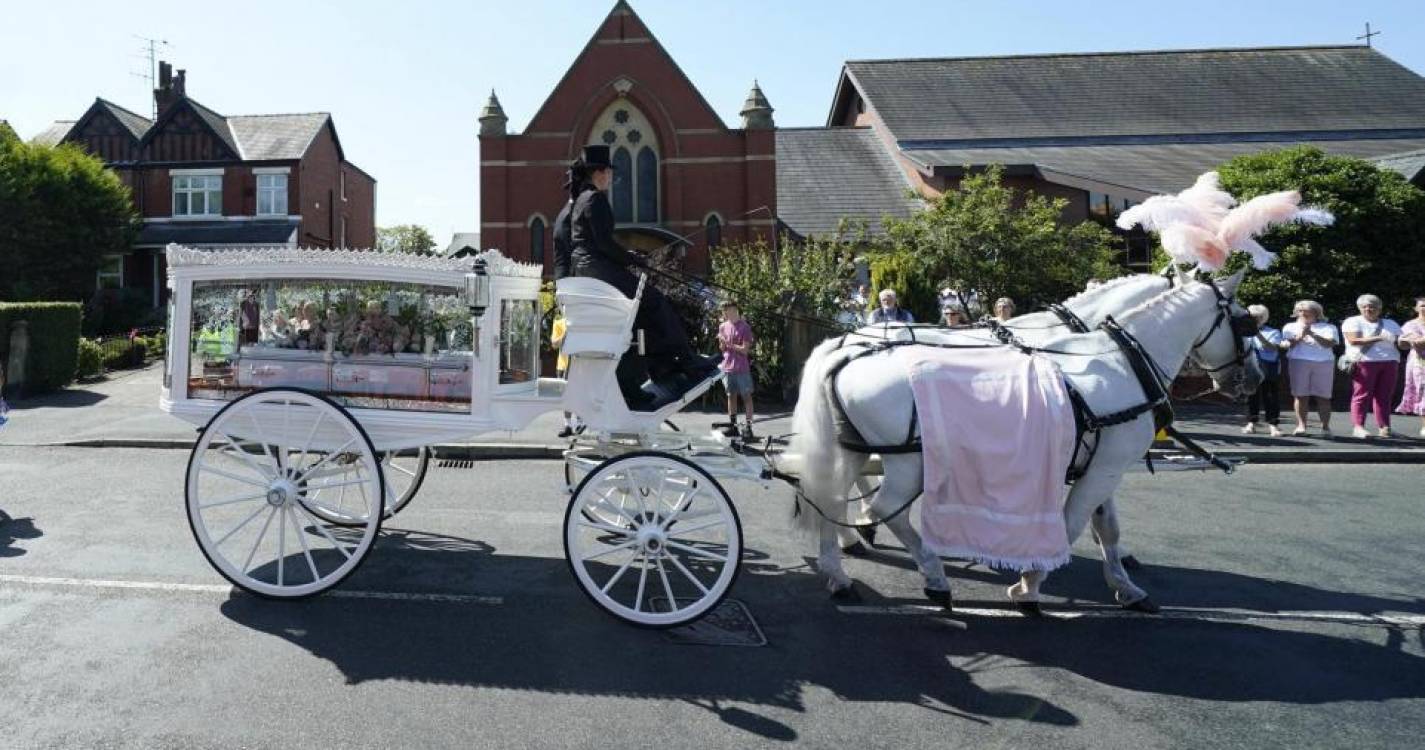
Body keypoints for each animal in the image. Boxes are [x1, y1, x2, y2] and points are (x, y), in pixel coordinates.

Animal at [786, 273, 1265, 615]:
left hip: (850, 448)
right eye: (1246, 321)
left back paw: (841, 569)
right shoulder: (1106, 463)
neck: (1118, 359)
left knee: (828, 497)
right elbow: (1073, 524)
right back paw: (931, 575)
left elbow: (1106, 526)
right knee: (888, 508)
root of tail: (844, 347)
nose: (1254, 379)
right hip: (909, 462)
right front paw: (1030, 583)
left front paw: (1125, 586)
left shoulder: (1101, 461)